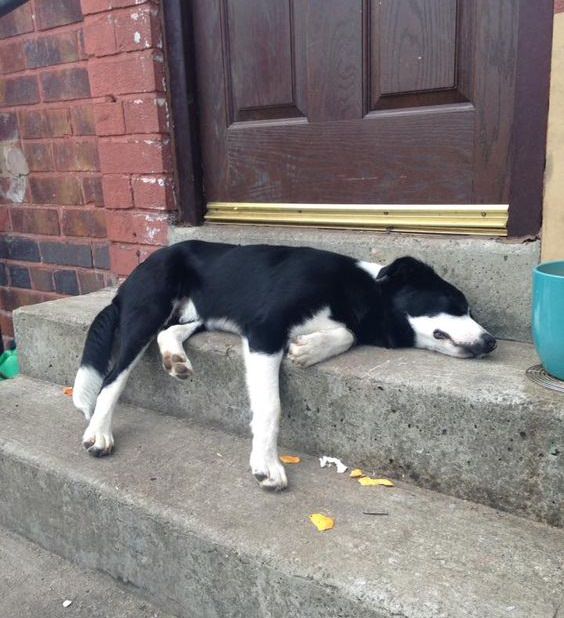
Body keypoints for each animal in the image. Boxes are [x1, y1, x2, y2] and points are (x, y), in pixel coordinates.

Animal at [72, 239, 496, 486]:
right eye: (455, 304)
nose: (491, 342)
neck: (358, 291)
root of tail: (134, 272)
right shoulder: (264, 330)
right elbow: (270, 406)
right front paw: (265, 463)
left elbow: (345, 334)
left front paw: (309, 348)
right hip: (148, 309)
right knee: (112, 377)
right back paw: (99, 432)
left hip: (200, 313)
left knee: (170, 331)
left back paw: (175, 358)